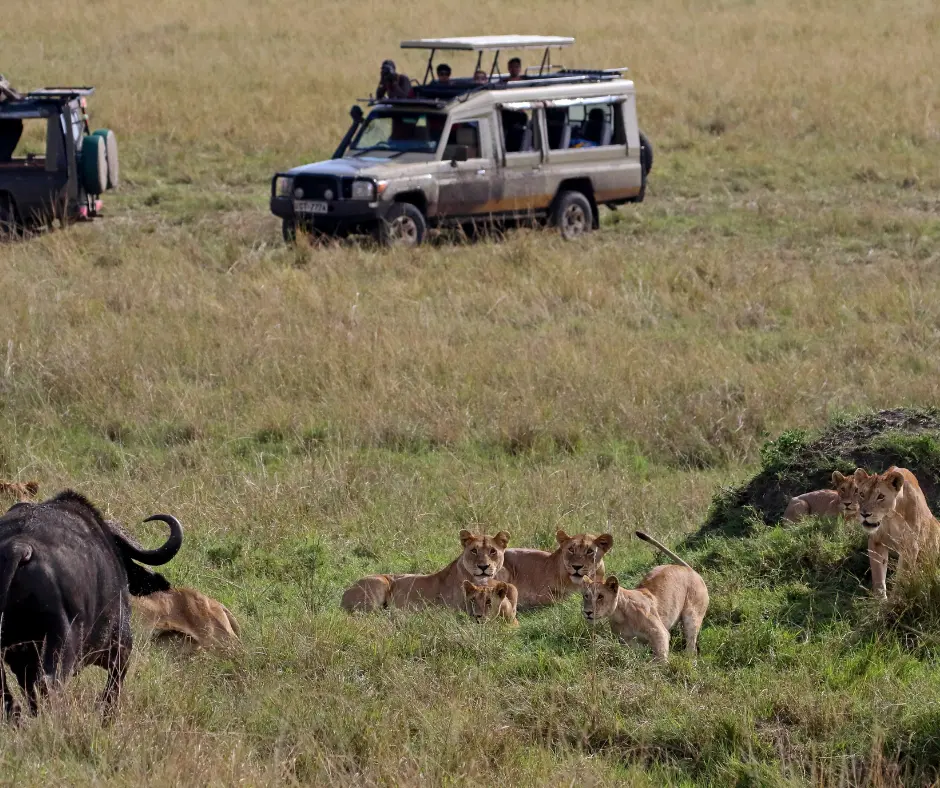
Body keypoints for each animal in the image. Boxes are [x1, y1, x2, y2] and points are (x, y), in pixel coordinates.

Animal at [342, 528, 510, 616]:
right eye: (474, 550)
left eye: (493, 551)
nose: (483, 566)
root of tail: (343, 595)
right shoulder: (447, 611)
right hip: (379, 581)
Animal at [576, 532, 708, 660]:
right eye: (586, 596)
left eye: (600, 596)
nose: (587, 612)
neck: (619, 615)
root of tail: (690, 570)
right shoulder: (628, 643)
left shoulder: (659, 633)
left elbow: (660, 659)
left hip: (692, 617)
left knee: (691, 646)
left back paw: (689, 660)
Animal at [856, 468, 936, 596]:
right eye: (862, 494)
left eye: (881, 496)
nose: (864, 514)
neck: (890, 516)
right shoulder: (877, 542)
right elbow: (878, 575)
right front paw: (881, 599)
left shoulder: (910, 547)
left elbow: (902, 577)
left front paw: (895, 599)